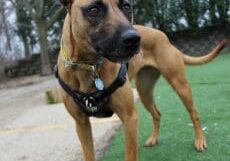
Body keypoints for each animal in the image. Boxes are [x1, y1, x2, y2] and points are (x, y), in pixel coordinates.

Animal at [56, 0, 229, 161]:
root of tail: (164, 37)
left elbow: (130, 154)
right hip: (144, 91)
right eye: (94, 9)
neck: (88, 66)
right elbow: (89, 154)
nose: (134, 39)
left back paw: (200, 140)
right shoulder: (81, 124)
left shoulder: (130, 118)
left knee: (194, 113)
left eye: (126, 6)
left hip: (180, 85)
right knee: (157, 113)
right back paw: (154, 138)